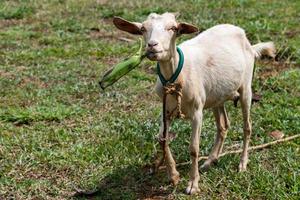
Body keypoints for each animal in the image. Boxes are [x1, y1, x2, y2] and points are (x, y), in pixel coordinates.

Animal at [113, 12, 276, 194]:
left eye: (173, 28)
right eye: (143, 29)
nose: (152, 45)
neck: (176, 77)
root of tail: (248, 41)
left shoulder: (197, 111)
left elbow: (194, 148)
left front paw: (193, 184)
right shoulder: (166, 110)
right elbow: (162, 139)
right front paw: (174, 176)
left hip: (245, 87)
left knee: (247, 126)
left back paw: (242, 164)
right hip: (216, 95)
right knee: (223, 125)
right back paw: (210, 161)